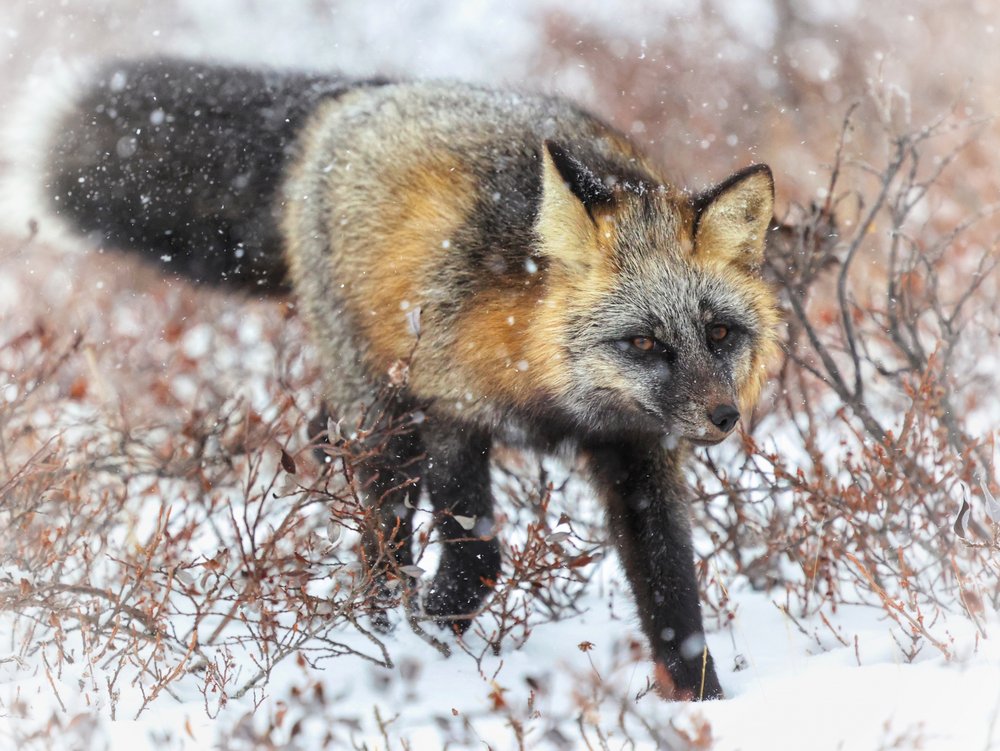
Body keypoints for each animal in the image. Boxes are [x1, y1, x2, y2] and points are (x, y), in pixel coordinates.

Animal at [34, 58, 780, 700]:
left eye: (719, 334)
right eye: (645, 342)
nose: (724, 417)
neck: (557, 396)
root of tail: (354, 96)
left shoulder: (637, 455)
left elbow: (673, 597)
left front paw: (706, 706)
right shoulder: (451, 407)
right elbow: (479, 556)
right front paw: (432, 631)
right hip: (384, 418)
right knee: (380, 528)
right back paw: (380, 623)